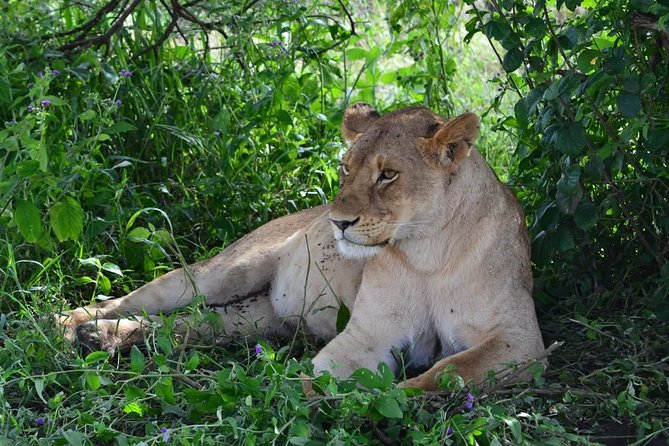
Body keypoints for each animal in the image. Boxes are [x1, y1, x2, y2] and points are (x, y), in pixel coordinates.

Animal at [58, 103, 545, 390]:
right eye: (346, 167)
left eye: (388, 174)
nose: (338, 222)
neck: (427, 252)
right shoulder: (369, 334)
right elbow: (317, 379)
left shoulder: (520, 342)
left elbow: (445, 373)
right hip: (225, 271)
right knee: (131, 300)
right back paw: (70, 325)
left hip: (257, 321)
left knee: (189, 326)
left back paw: (104, 338)